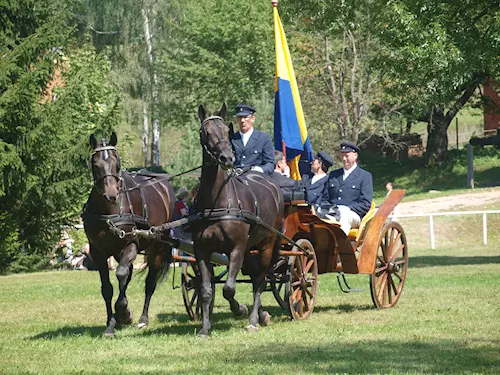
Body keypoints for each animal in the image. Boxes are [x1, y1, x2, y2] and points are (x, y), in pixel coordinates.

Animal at [83, 133, 175, 338]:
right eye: (95, 164)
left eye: (117, 163)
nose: (111, 195)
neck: (108, 211)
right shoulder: (97, 252)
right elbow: (107, 288)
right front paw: (111, 324)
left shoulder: (131, 244)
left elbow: (121, 273)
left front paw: (124, 313)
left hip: (156, 247)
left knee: (149, 283)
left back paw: (143, 319)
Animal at [192, 104, 286, 336]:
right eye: (206, 132)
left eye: (227, 131)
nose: (227, 159)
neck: (216, 201)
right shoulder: (201, 250)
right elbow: (206, 289)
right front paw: (205, 328)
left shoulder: (236, 248)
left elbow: (229, 288)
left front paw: (240, 310)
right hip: (251, 248)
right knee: (254, 276)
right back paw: (260, 314)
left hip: (266, 244)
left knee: (260, 280)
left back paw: (253, 319)